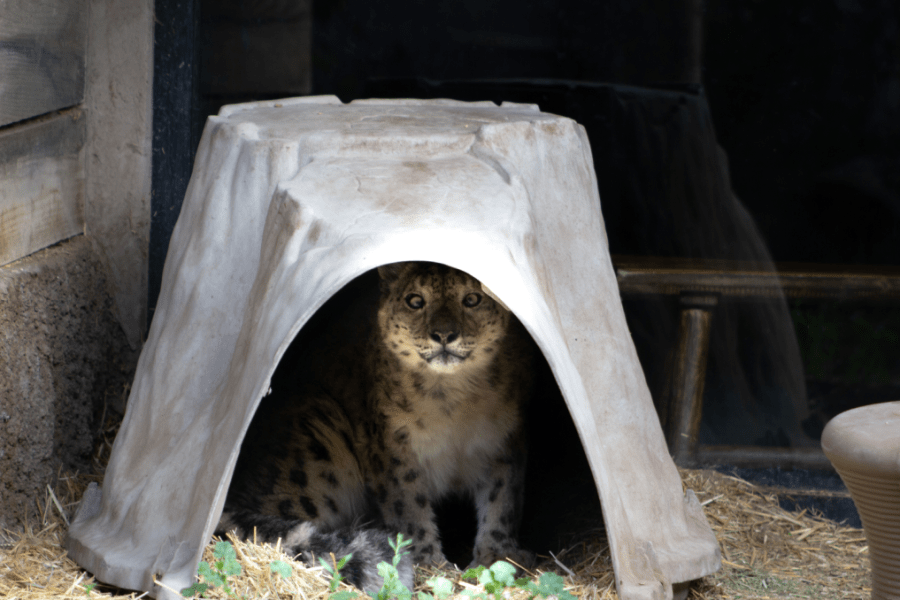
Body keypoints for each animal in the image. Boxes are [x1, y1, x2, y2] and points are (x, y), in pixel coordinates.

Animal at [220, 262, 536, 592]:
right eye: (415, 300)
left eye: (473, 299)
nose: (444, 334)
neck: (453, 401)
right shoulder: (394, 450)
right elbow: (409, 510)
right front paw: (430, 564)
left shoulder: (504, 443)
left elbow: (502, 501)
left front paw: (495, 556)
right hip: (316, 448)